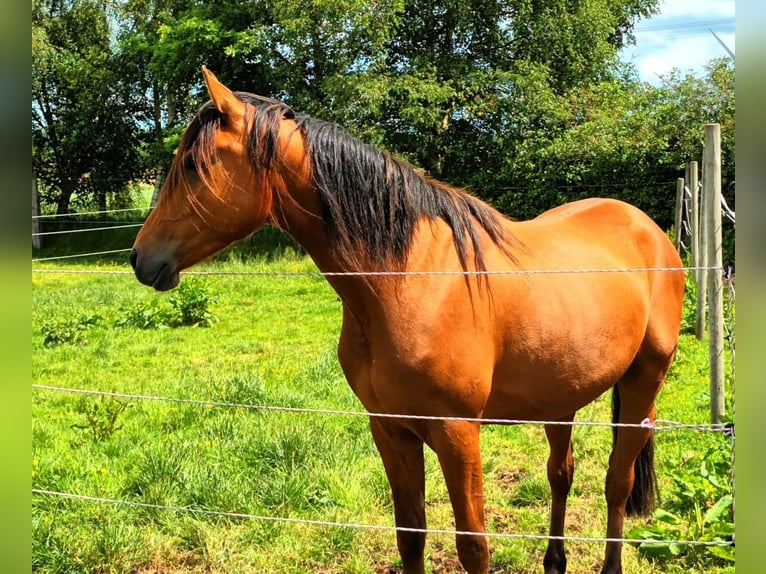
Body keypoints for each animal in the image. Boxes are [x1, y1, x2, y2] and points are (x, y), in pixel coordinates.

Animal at [131, 67, 685, 574]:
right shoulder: (391, 429)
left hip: (644, 381)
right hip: (559, 396)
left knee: (617, 482)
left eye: (191, 165)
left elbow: (473, 546)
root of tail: (646, 226)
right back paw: (554, 561)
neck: (402, 281)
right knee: (561, 473)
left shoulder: (457, 434)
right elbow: (410, 534)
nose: (140, 258)